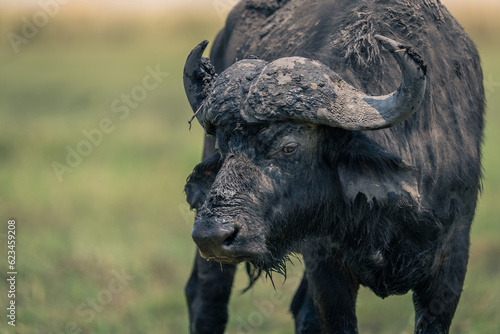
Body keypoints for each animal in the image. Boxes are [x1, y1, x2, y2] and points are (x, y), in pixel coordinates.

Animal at [182, 1, 482, 332]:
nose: (211, 235)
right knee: (205, 296)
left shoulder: (452, 259)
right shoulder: (325, 263)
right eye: (222, 149)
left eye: (289, 147)